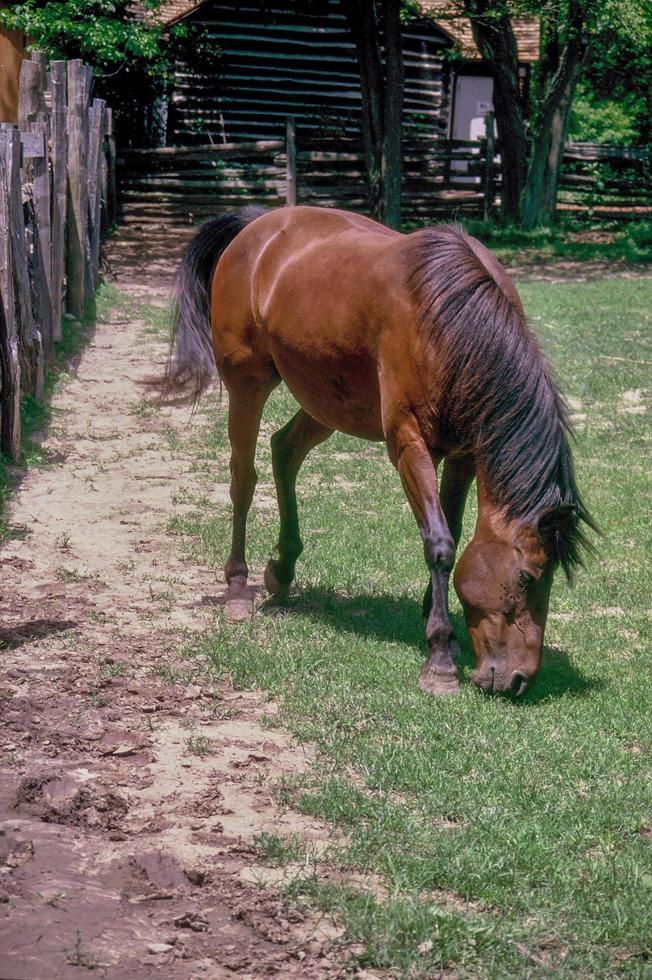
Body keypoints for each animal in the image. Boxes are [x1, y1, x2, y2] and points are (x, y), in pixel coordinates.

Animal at [164, 205, 596, 696]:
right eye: (527, 577)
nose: (519, 679)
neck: (450, 319)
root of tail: (257, 225)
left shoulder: (465, 453)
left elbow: (453, 526)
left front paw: (440, 628)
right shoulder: (409, 444)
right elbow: (440, 544)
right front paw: (439, 660)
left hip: (325, 401)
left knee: (284, 452)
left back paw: (283, 569)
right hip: (247, 384)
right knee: (243, 478)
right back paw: (237, 588)